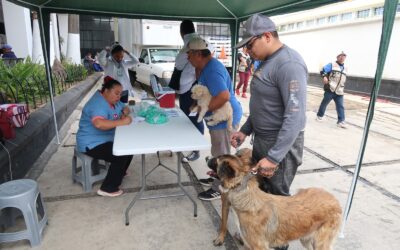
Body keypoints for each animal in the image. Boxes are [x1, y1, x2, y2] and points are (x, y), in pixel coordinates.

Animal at [211, 149, 342, 249]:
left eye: (216, 160)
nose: (207, 157)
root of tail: (334, 199)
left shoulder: (259, 246)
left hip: (320, 242)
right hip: (306, 238)